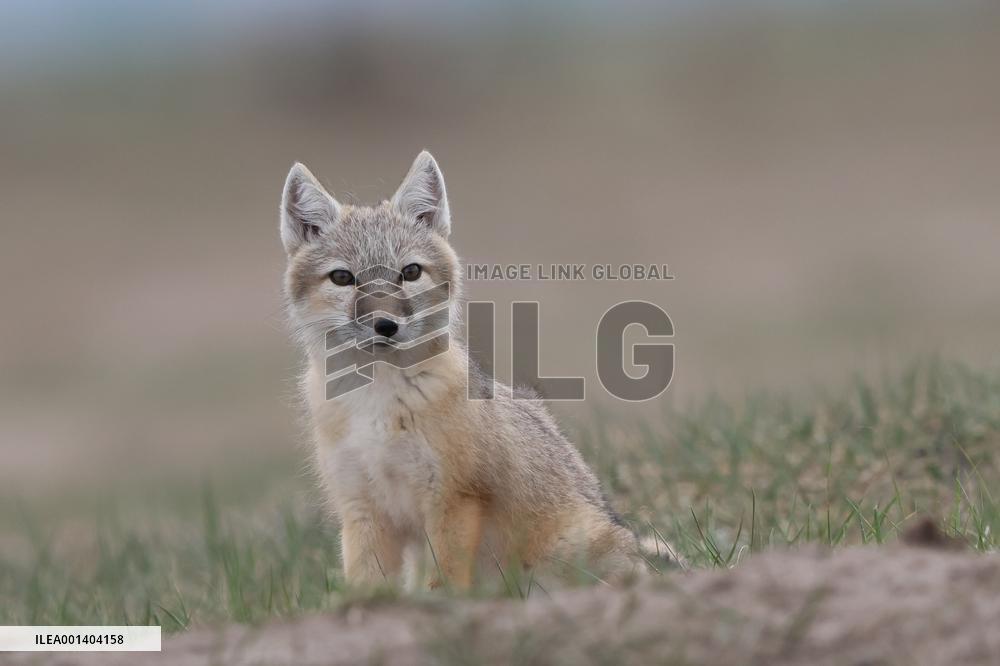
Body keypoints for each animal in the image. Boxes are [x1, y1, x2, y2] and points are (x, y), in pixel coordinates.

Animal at [280, 151, 656, 590]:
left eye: (410, 272)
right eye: (343, 277)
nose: (385, 325)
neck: (376, 402)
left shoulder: (453, 499)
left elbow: (443, 582)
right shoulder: (361, 506)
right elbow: (366, 586)